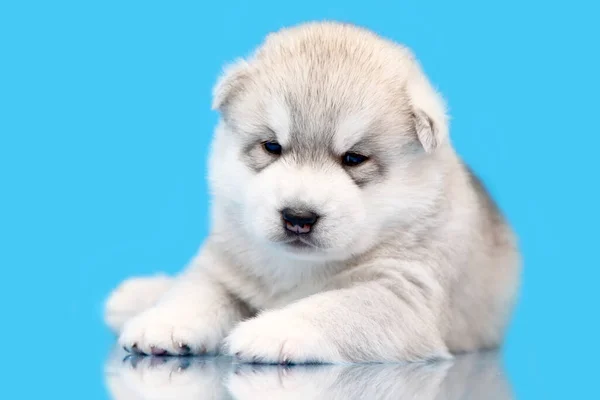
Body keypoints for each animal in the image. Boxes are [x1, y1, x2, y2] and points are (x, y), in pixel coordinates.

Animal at [106, 21, 520, 362]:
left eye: (354, 159)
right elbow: (197, 289)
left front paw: (273, 329)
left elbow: (336, 308)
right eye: (272, 147)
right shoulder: (222, 264)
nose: (298, 217)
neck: (300, 267)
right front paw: (166, 320)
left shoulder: (404, 293)